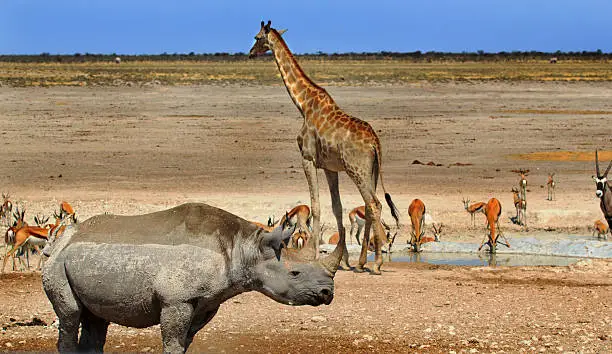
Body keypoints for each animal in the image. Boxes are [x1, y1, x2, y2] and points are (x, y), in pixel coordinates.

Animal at [250, 20, 402, 274]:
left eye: (257, 37)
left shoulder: (308, 158)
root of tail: (375, 143)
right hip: (371, 171)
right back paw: (362, 262)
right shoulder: (331, 167)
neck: (303, 104)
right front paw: (342, 260)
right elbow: (336, 208)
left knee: (374, 204)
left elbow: (316, 205)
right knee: (370, 206)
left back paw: (377, 263)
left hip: (357, 170)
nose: (251, 52)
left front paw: (312, 255)